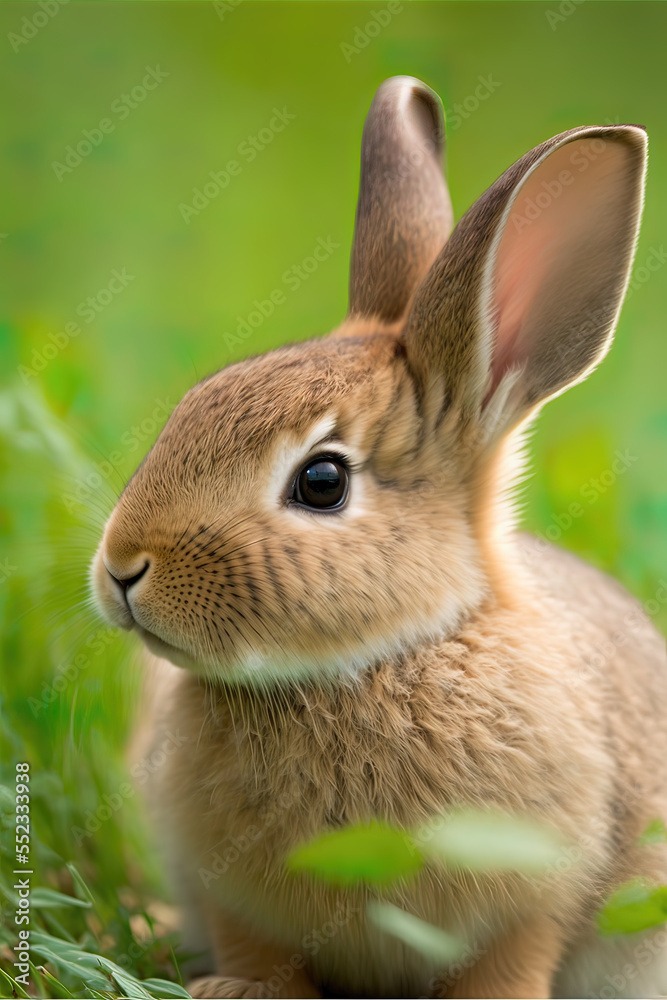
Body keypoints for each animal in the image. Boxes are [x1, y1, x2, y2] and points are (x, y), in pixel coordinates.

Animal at [92, 76, 667, 999]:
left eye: (321, 483)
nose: (121, 568)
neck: (384, 658)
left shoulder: (536, 894)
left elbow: (514, 955)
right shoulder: (232, 896)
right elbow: (256, 946)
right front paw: (237, 989)